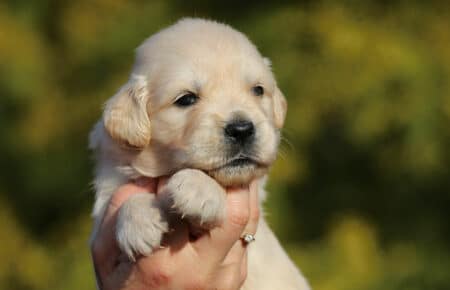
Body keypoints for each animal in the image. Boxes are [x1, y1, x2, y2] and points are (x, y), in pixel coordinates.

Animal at [90, 18, 312, 290]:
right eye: (186, 99)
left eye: (258, 90)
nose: (241, 129)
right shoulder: (107, 192)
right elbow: (118, 204)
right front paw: (139, 222)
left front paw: (198, 190)